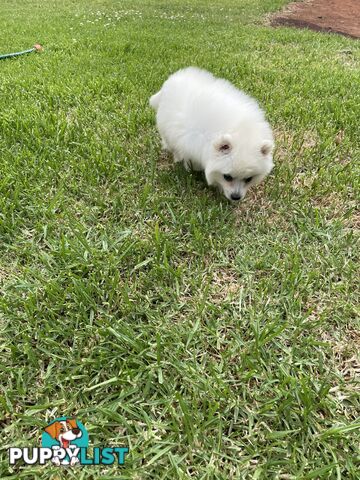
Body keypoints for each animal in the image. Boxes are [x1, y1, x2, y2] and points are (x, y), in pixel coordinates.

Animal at [149, 67, 272, 201]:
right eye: (227, 177)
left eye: (249, 179)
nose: (236, 197)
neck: (239, 130)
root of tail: (170, 81)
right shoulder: (192, 143)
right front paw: (191, 168)